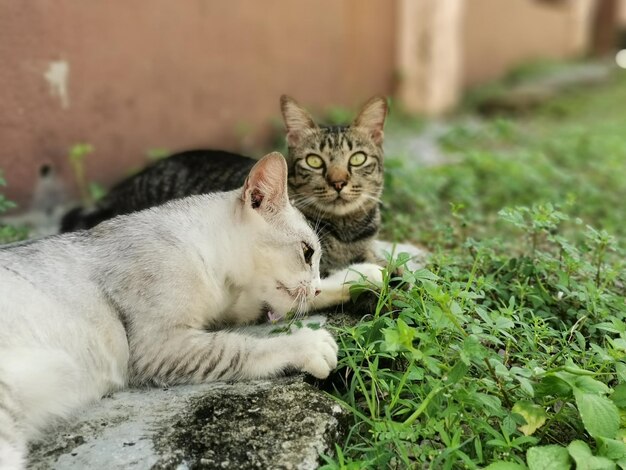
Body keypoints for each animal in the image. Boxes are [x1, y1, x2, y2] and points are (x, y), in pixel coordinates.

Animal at [0, 152, 380, 468]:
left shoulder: (235, 307)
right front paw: (308, 343)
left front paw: (362, 275)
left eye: (314, 258)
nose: (313, 284)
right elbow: (240, 347)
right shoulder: (161, 346)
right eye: (306, 252)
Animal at [62, 96, 386, 280]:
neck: (347, 231)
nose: (338, 182)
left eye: (357, 159)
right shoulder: (321, 265)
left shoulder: (368, 251)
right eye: (315, 161)